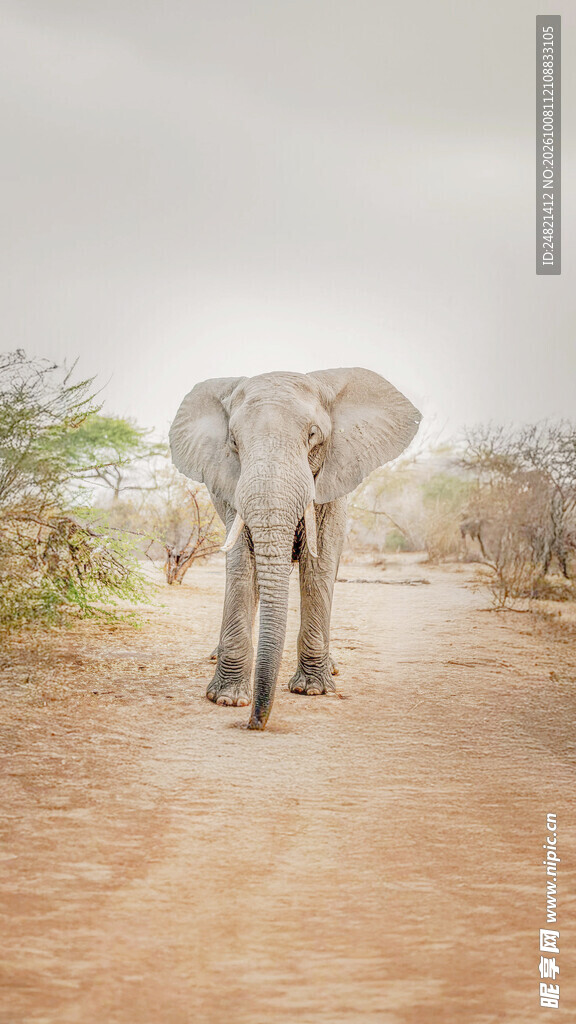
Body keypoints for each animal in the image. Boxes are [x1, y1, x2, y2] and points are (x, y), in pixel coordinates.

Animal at [169, 368, 421, 730]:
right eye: (234, 442)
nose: (254, 723)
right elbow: (242, 566)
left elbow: (319, 567)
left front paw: (312, 690)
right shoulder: (231, 489)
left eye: (313, 435)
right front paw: (227, 699)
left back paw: (330, 668)